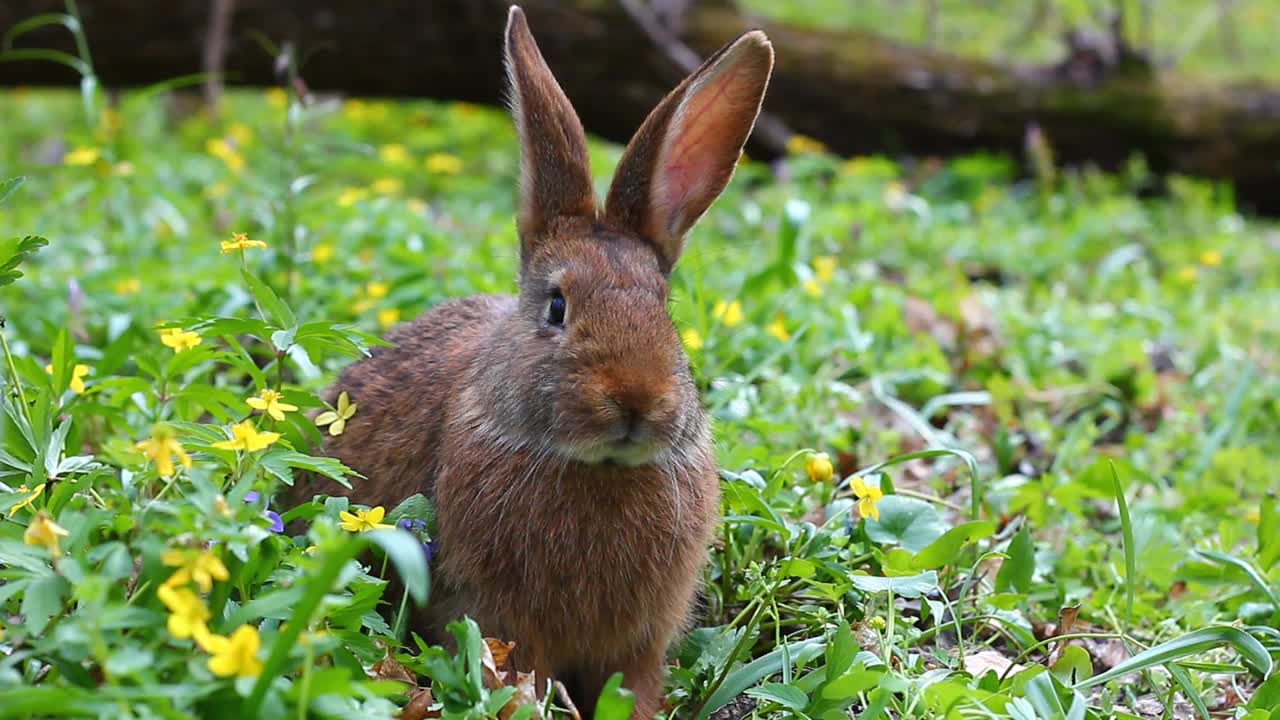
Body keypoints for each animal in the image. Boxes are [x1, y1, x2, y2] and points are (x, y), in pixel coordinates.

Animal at [308, 7, 768, 717]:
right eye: (556, 306)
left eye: (663, 308)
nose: (635, 399)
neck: (599, 469)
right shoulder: (502, 617)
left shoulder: (641, 641)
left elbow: (634, 686)